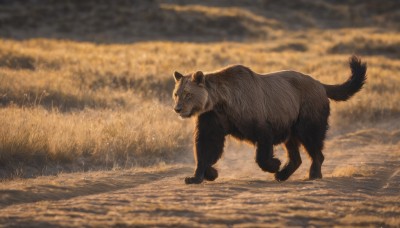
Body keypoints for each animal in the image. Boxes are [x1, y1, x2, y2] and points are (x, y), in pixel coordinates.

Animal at [172, 56, 366, 184]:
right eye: (176, 93)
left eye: (188, 94)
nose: (178, 109)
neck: (220, 101)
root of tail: (320, 83)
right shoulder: (213, 118)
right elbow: (206, 144)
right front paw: (199, 175)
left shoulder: (254, 114)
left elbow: (263, 144)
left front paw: (274, 164)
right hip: (290, 120)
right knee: (294, 147)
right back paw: (283, 174)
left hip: (306, 112)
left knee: (311, 139)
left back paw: (312, 173)